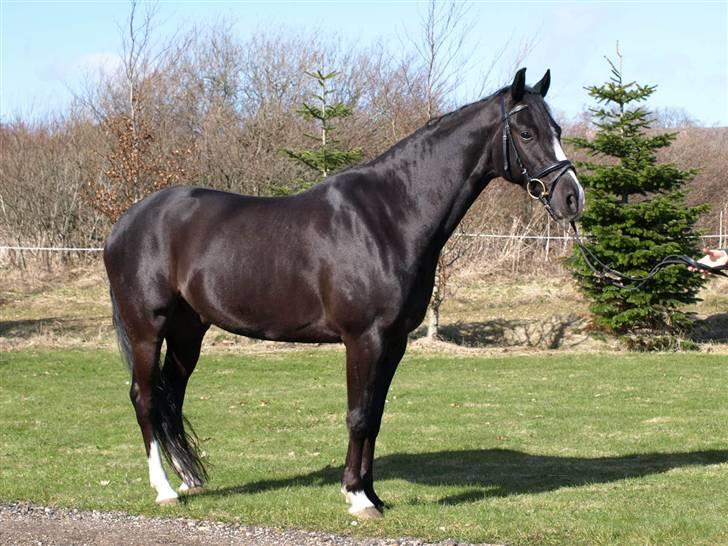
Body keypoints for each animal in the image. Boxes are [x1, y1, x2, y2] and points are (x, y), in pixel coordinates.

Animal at [104, 68, 584, 519]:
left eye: (558, 130)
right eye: (526, 133)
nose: (572, 198)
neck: (389, 215)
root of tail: (125, 223)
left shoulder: (393, 341)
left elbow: (375, 415)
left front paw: (373, 494)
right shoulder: (363, 339)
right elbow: (358, 414)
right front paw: (357, 496)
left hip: (189, 331)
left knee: (171, 394)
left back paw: (189, 479)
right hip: (147, 330)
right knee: (145, 398)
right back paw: (164, 489)